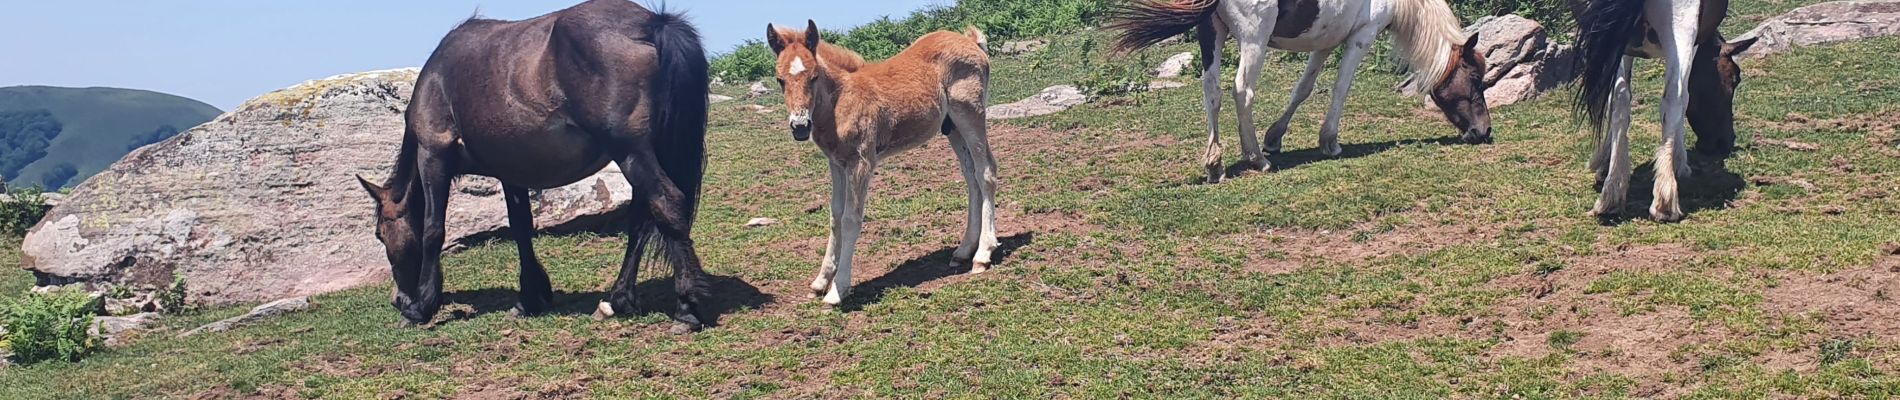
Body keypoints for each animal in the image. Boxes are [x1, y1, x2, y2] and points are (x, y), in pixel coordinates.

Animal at [357, 0, 714, 327]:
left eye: (380, 234)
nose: (399, 299)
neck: (437, 79)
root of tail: (652, 23)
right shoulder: (510, 172)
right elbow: (521, 228)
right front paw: (530, 297)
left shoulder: (433, 155)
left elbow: (433, 230)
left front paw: (421, 307)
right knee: (642, 219)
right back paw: (618, 299)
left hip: (631, 152)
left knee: (666, 203)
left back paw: (685, 309)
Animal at [760, 20, 995, 305]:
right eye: (780, 80)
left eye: (814, 76)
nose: (800, 126)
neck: (841, 102)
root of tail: (970, 41)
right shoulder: (837, 164)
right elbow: (835, 217)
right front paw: (820, 281)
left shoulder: (861, 161)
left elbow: (851, 219)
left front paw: (837, 290)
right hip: (952, 127)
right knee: (971, 177)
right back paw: (963, 250)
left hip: (970, 114)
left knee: (986, 172)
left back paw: (983, 254)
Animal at [1109, 0, 1497, 182]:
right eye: (1476, 79)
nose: (1484, 131)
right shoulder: (1361, 38)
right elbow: (1340, 89)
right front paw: (1330, 142)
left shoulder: (1324, 43)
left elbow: (1304, 88)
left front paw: (1275, 137)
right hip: (1254, 39)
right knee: (1242, 92)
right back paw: (1256, 160)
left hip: (1212, 33)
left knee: (1213, 91)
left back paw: (1216, 165)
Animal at [1580, 0, 1755, 219]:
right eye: (1734, 78)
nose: (1725, 142)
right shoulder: (1693, 43)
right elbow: (1684, 97)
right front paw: (1679, 162)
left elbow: (1616, 97)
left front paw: (1604, 163)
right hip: (1681, 30)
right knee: (1674, 98)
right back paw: (1665, 201)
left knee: (1620, 97)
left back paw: (1611, 195)